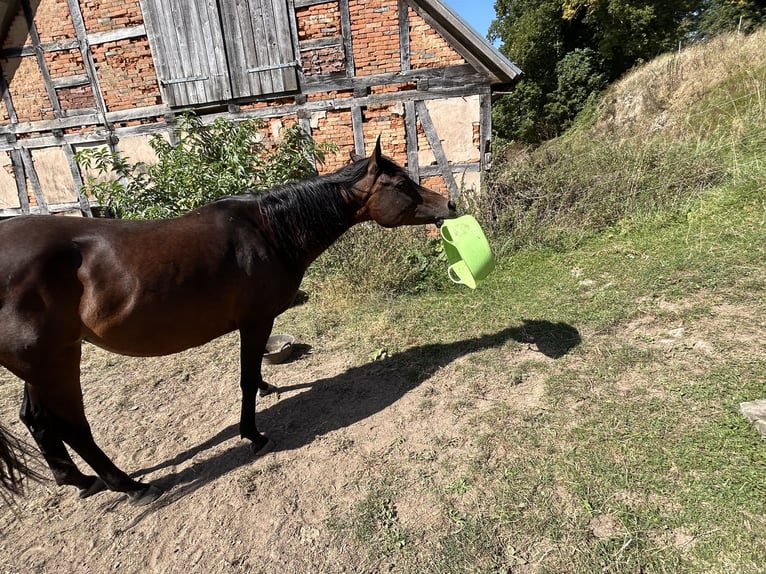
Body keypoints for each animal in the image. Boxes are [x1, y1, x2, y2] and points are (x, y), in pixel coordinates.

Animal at [0, 141, 456, 508]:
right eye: (401, 185)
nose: (449, 205)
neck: (269, 229)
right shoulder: (255, 321)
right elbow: (245, 378)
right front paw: (253, 434)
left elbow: (255, 376)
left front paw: (270, 390)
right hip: (57, 364)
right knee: (72, 426)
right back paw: (130, 486)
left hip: (43, 365)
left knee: (37, 419)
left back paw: (79, 481)